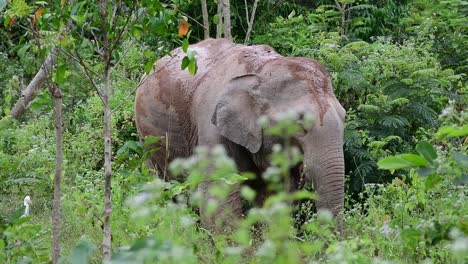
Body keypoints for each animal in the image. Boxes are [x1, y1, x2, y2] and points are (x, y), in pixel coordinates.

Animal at [133, 37, 346, 231]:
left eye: (344, 117)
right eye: (299, 122)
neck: (261, 70)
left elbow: (277, 196)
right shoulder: (211, 125)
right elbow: (217, 196)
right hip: (148, 138)